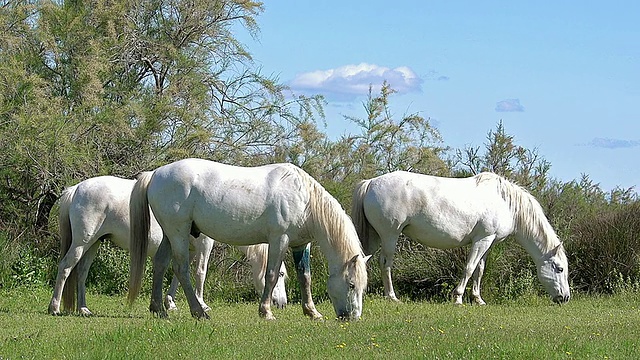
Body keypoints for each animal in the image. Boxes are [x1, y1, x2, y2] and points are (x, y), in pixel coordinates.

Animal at [45, 176, 284, 316]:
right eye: (281, 274)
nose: (281, 303)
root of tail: (76, 188)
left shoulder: (185, 248)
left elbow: (178, 275)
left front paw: (170, 302)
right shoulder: (204, 246)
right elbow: (199, 273)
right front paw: (201, 304)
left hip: (93, 243)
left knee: (81, 272)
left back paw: (83, 309)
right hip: (82, 242)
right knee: (65, 267)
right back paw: (54, 307)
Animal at [129, 159, 370, 320]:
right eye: (351, 284)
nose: (353, 317)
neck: (304, 199)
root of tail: (155, 173)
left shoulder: (301, 245)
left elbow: (305, 278)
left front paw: (312, 312)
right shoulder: (279, 240)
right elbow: (270, 275)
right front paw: (266, 312)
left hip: (170, 235)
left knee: (160, 264)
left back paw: (158, 309)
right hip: (178, 233)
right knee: (181, 269)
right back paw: (198, 311)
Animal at [356, 171, 568, 304]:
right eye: (559, 268)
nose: (565, 298)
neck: (506, 203)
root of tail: (371, 182)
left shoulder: (488, 242)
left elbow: (479, 270)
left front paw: (478, 299)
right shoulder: (482, 240)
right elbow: (469, 268)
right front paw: (458, 298)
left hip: (375, 237)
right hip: (390, 235)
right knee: (386, 264)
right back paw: (392, 296)